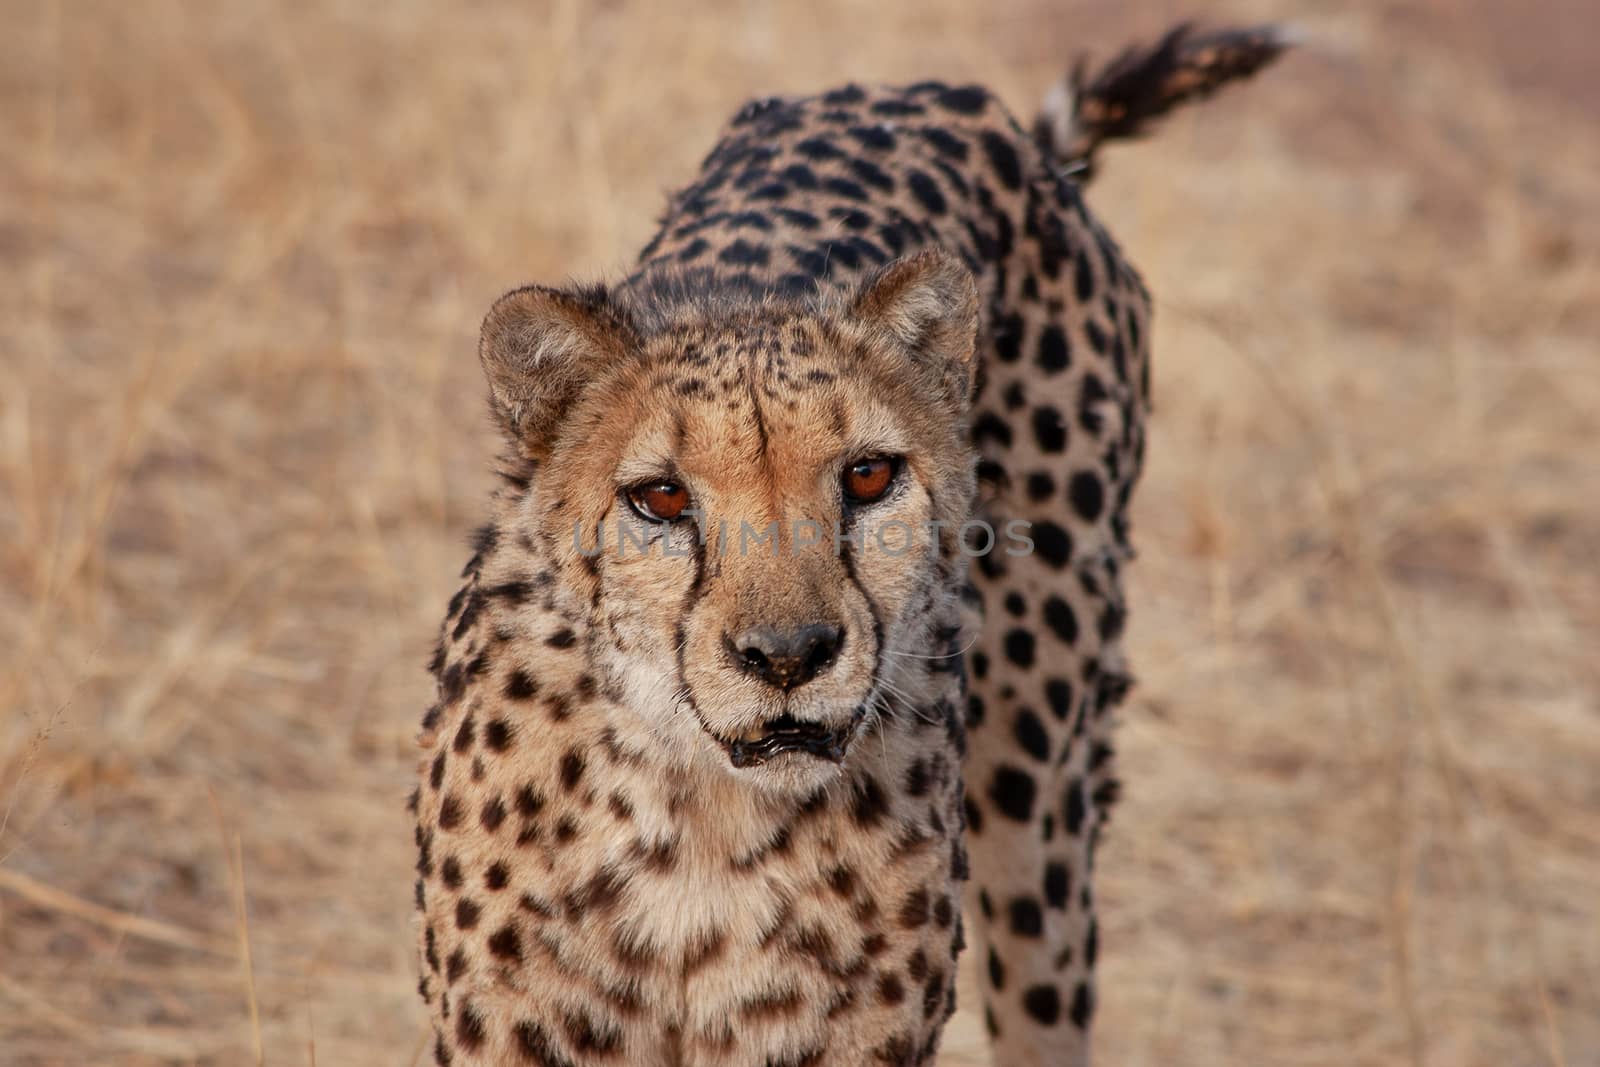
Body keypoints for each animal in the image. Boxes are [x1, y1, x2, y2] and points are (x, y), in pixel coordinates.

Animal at [412, 24, 1286, 1067]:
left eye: (868, 476)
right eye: (660, 497)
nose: (788, 656)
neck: (699, 813)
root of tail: (960, 106)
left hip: (1039, 791)